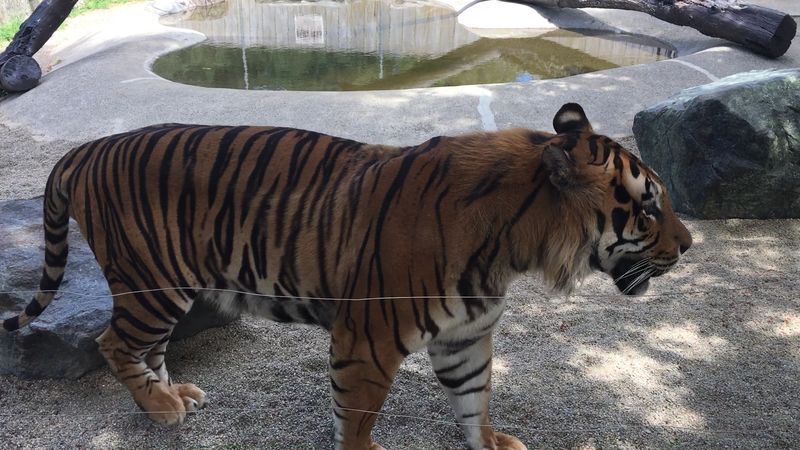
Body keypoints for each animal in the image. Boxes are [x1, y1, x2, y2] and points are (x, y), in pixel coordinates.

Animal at [2, 103, 691, 450]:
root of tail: (86, 148)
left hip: (166, 288)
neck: (515, 248)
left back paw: (176, 396)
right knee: (114, 341)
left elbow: (475, 399)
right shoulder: (367, 340)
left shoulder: (466, 336)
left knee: (146, 347)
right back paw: (161, 409)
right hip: (153, 282)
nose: (688, 246)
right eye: (649, 208)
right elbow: (357, 420)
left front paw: (490, 441)